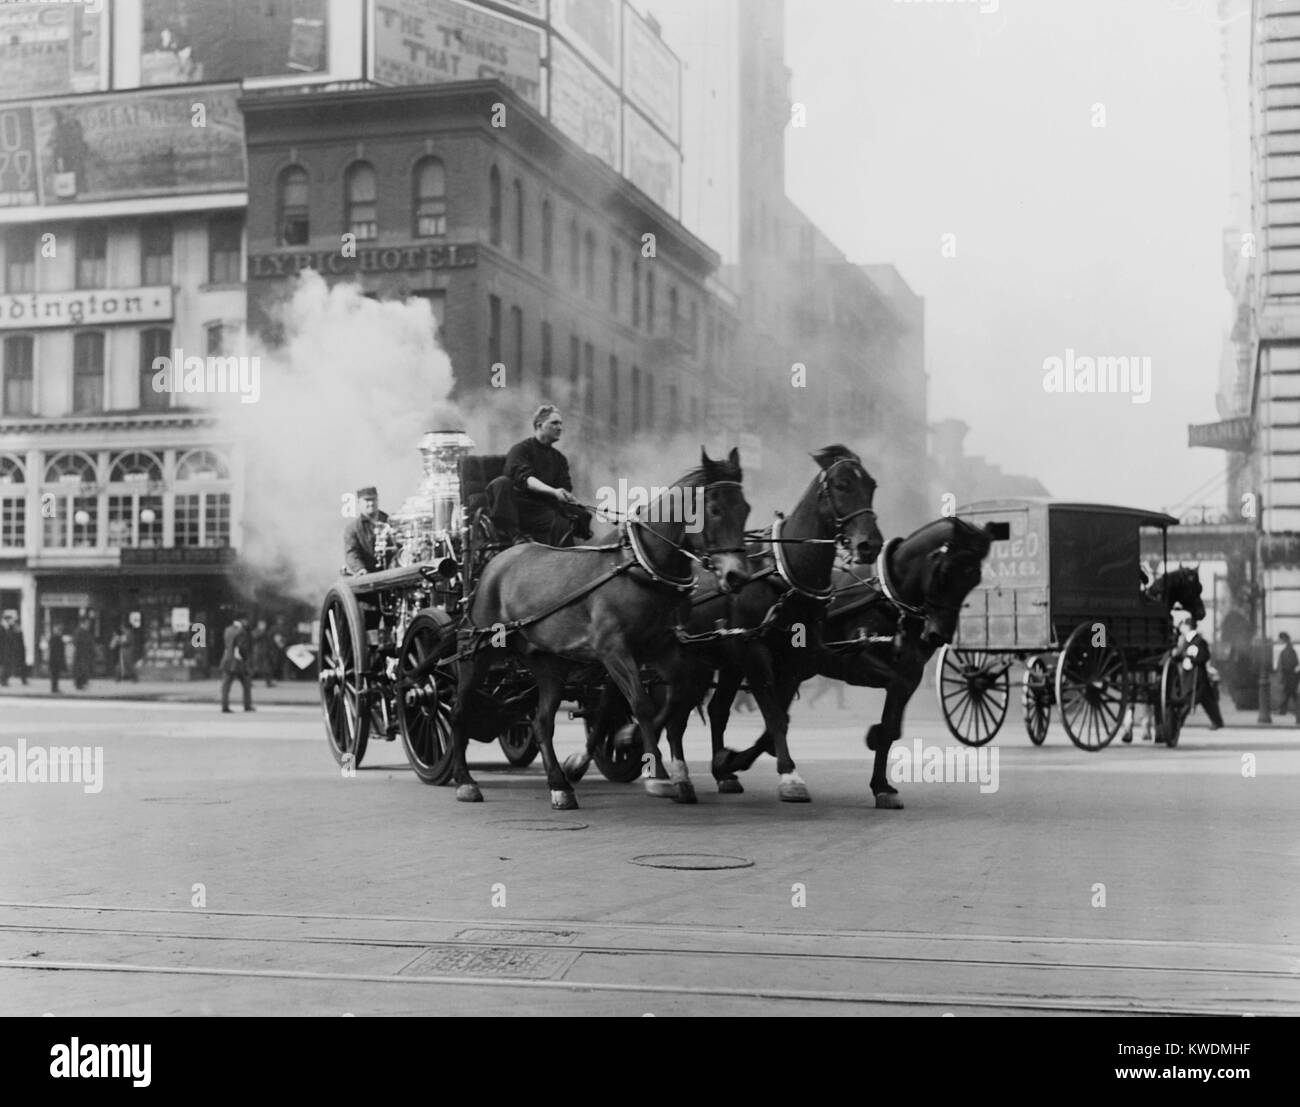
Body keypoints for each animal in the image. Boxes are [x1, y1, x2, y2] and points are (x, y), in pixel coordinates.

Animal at [449, 452, 748, 810]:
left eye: (745, 508)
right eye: (714, 509)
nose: (736, 576)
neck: (639, 567)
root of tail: (496, 562)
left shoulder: (660, 647)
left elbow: (679, 692)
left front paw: (635, 744)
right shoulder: (613, 650)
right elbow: (642, 704)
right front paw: (656, 771)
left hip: (547, 661)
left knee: (542, 721)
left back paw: (559, 785)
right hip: (479, 652)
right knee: (459, 710)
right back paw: (464, 780)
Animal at [930, 501, 1201, 753]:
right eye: (1196, 588)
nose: (1202, 613)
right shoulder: (1148, 658)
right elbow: (1160, 690)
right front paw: (1167, 724)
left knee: (981, 680)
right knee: (1099, 687)